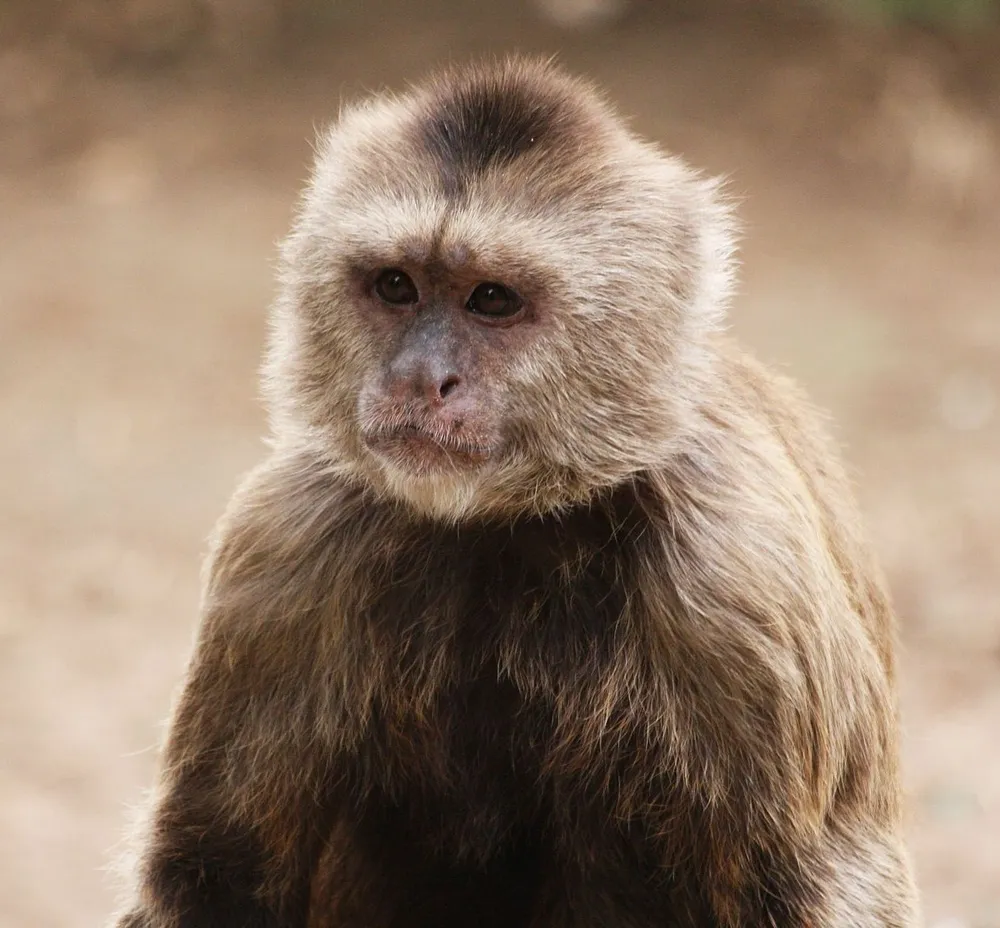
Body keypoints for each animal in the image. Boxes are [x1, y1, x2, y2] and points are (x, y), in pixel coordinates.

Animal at [108, 57, 920, 928]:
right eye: (396, 286)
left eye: (491, 299)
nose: (419, 377)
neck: (511, 525)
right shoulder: (286, 543)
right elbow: (214, 879)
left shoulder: (739, 580)